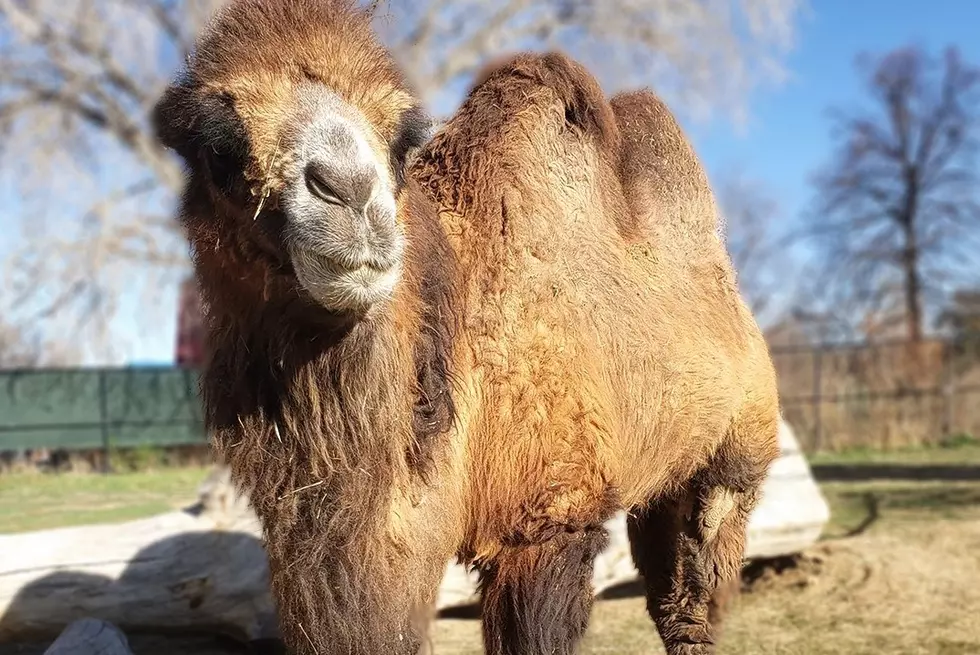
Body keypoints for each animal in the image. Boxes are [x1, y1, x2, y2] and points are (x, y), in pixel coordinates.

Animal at [153, 1, 780, 655]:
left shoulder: (549, 520)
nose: (350, 192)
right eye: (216, 149)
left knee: (696, 588)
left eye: (403, 140)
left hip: (736, 457)